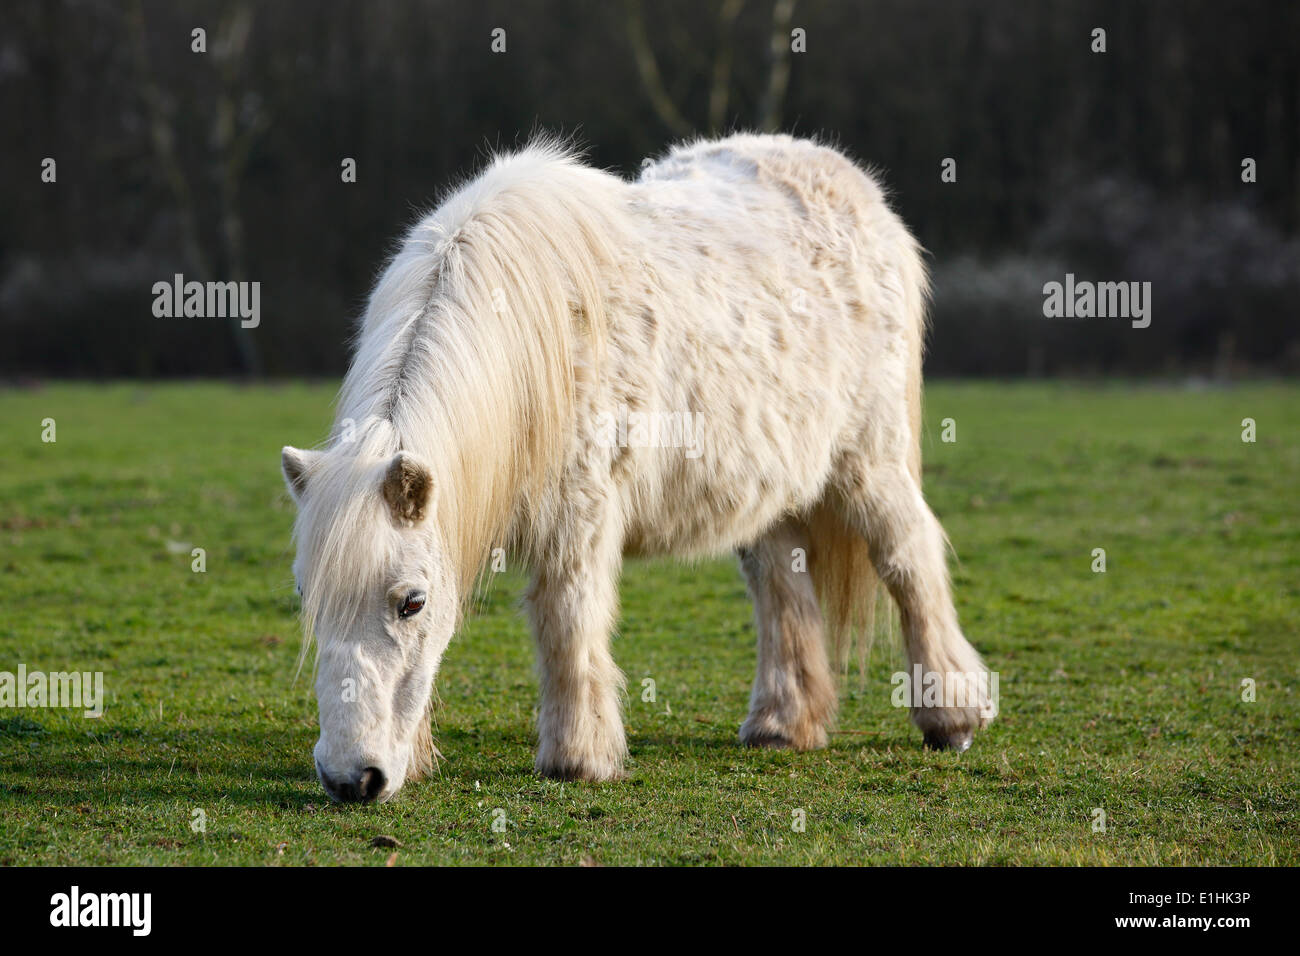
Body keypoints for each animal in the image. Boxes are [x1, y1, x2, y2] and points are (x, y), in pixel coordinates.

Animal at [284, 134, 987, 806]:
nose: (352, 779)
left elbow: (566, 623)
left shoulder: (579, 517)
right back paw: (784, 724)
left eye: (412, 602)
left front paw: (578, 758)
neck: (536, 331)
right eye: (305, 593)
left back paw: (951, 715)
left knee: (908, 559)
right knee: (780, 590)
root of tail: (859, 192)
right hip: (770, 492)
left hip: (869, 462)